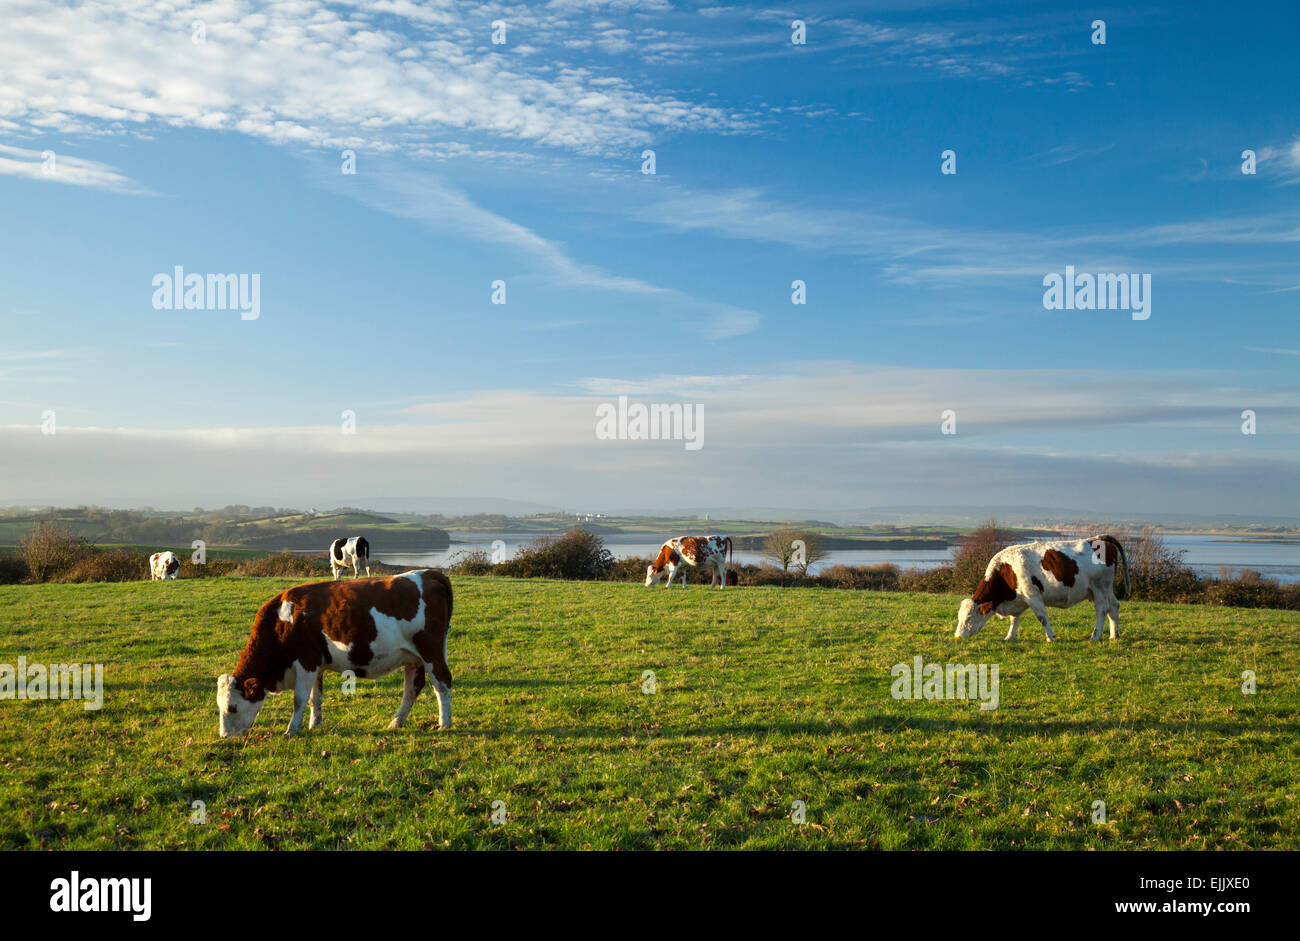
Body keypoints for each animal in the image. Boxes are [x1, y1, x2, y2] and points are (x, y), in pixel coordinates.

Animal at [215, 566, 454, 733]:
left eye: (232, 708)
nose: (224, 736)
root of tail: (428, 573)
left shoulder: (307, 661)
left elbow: (299, 699)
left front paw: (292, 729)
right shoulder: (317, 665)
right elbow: (315, 698)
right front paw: (314, 725)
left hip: (430, 650)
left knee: (442, 682)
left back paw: (444, 723)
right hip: (412, 657)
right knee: (412, 688)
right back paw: (396, 722)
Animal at [956, 532, 1128, 642]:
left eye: (969, 617)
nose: (957, 635)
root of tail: (1099, 538)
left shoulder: (1033, 596)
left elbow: (1042, 618)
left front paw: (1050, 637)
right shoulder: (1018, 599)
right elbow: (1014, 619)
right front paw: (1010, 636)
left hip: (1100, 587)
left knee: (1102, 610)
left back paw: (1095, 636)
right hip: (1106, 588)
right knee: (1114, 606)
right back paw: (1114, 635)